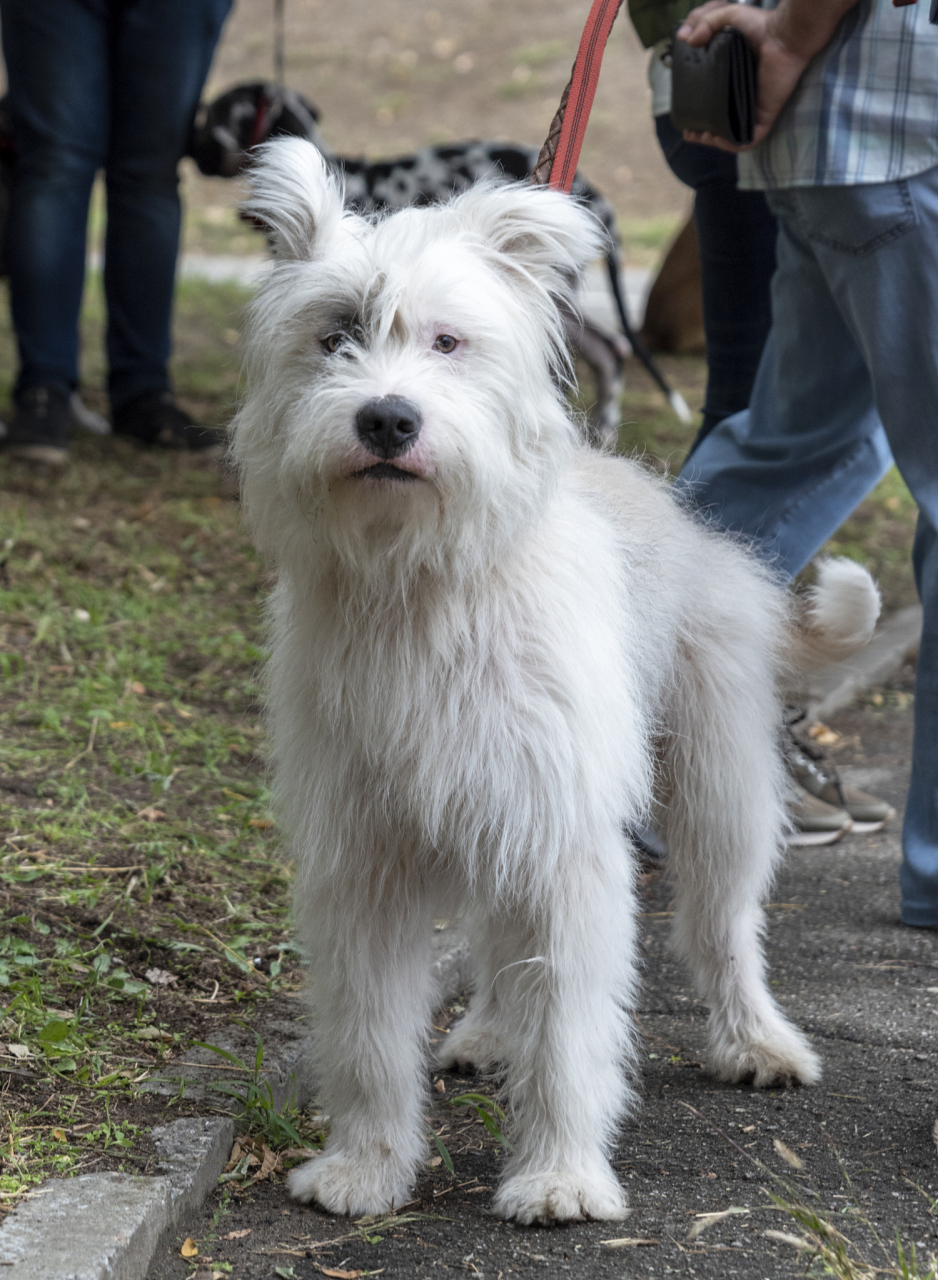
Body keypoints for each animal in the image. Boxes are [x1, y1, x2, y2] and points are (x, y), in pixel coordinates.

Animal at [230, 135, 880, 1223]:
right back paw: (491, 1030)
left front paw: (561, 1174)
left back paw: (756, 1041)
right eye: (338, 336)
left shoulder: (563, 848)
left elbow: (571, 1031)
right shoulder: (366, 860)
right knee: (502, 954)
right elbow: (367, 1033)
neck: (426, 583)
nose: (387, 419)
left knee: (723, 928)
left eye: (447, 341)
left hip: (714, 793)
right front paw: (367, 1164)